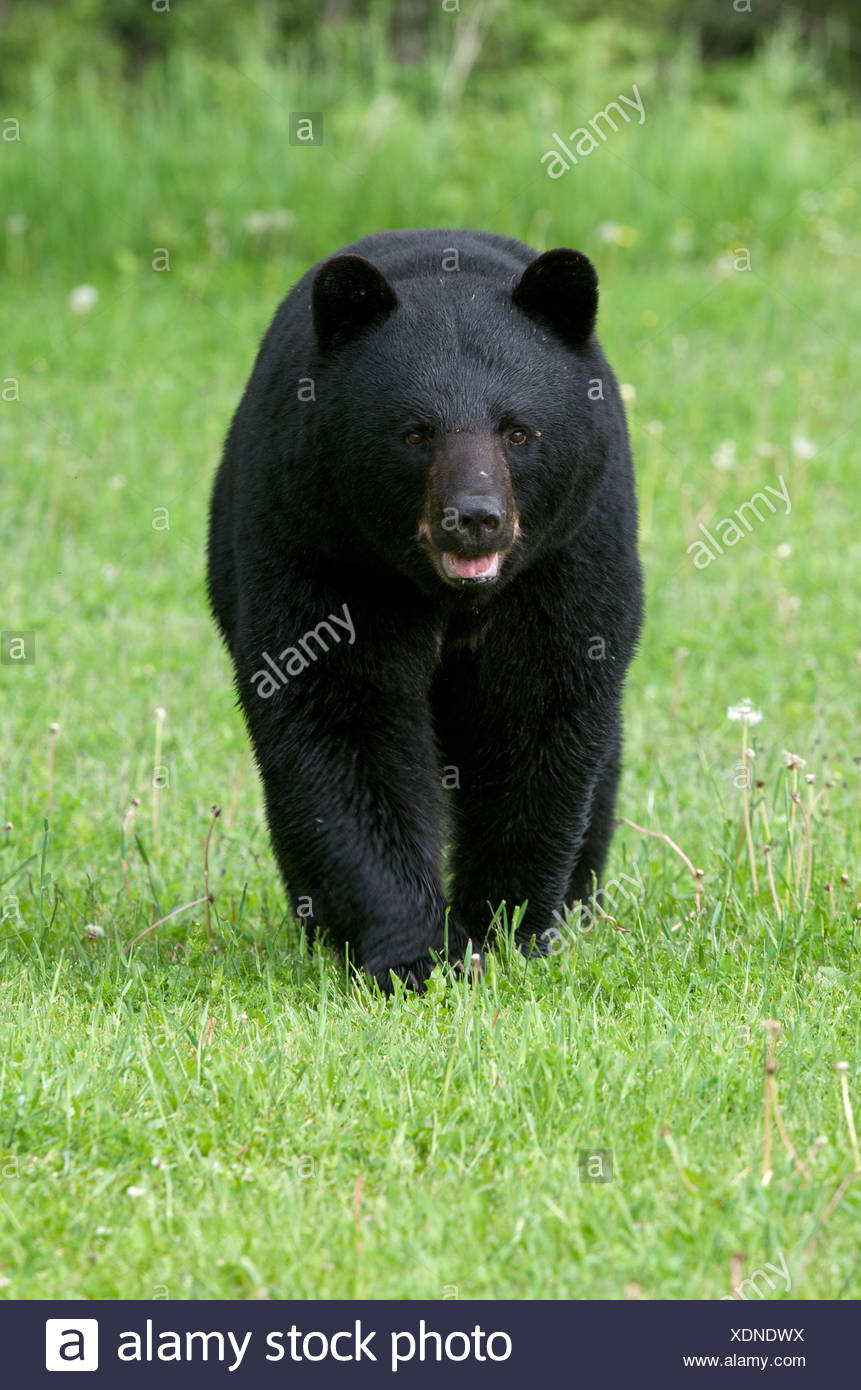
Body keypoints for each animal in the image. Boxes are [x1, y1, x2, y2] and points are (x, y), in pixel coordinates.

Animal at [207, 228, 643, 989]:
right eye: (415, 433)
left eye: (518, 431)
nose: (474, 518)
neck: (454, 597)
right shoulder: (324, 545)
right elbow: (343, 720)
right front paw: (413, 954)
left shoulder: (569, 555)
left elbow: (538, 711)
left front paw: (506, 929)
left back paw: (578, 902)